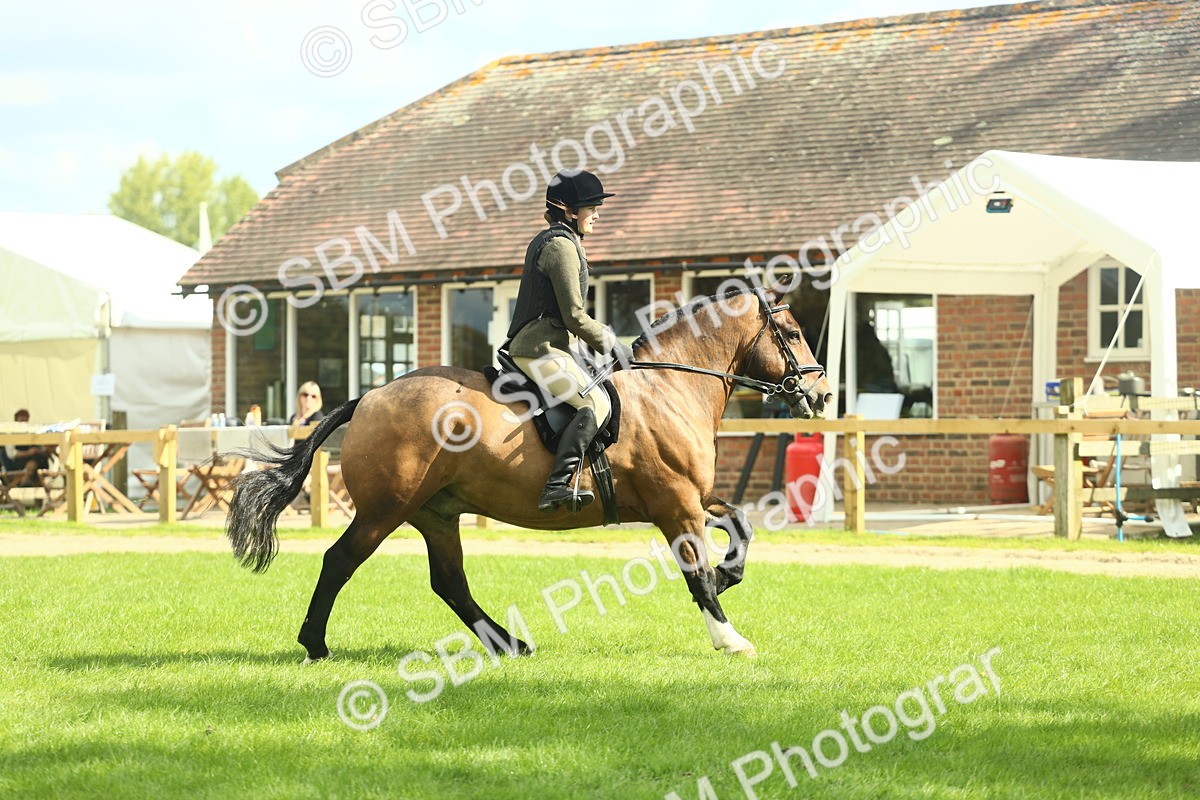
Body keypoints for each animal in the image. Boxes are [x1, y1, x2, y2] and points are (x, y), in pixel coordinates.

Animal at [226, 285, 832, 662]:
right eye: (793, 334)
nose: (823, 394)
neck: (669, 386)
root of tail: (370, 397)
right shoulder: (675, 503)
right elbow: (697, 574)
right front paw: (729, 637)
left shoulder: (693, 496)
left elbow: (741, 525)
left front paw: (732, 573)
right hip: (385, 510)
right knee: (340, 561)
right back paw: (315, 644)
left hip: (436, 513)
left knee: (449, 582)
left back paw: (509, 645)